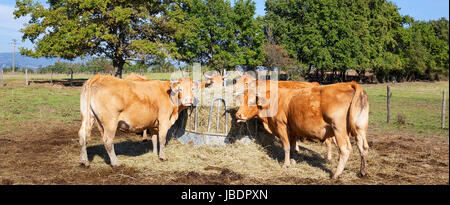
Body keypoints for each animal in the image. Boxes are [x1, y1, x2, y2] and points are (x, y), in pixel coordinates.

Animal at [236, 81, 370, 179]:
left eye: (252, 101)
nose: (238, 115)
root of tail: (349, 84)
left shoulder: (281, 126)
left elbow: (286, 147)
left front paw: (286, 164)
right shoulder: (293, 130)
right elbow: (293, 147)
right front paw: (293, 161)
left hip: (339, 129)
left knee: (345, 150)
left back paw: (336, 175)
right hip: (360, 129)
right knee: (363, 148)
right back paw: (362, 172)